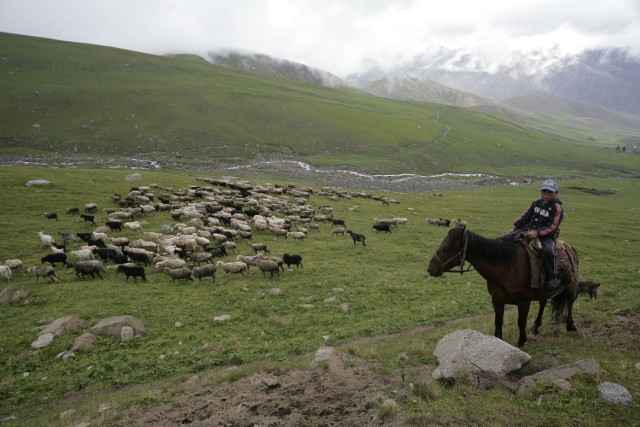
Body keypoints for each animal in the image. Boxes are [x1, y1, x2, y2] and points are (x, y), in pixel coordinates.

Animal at [424, 226, 580, 346]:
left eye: (446, 247)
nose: (431, 268)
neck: (507, 267)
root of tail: (569, 247)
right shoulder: (497, 300)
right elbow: (498, 321)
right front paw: (498, 340)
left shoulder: (524, 302)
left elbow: (521, 322)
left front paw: (521, 342)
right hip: (544, 291)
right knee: (542, 304)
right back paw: (535, 327)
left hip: (572, 286)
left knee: (570, 301)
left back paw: (570, 325)